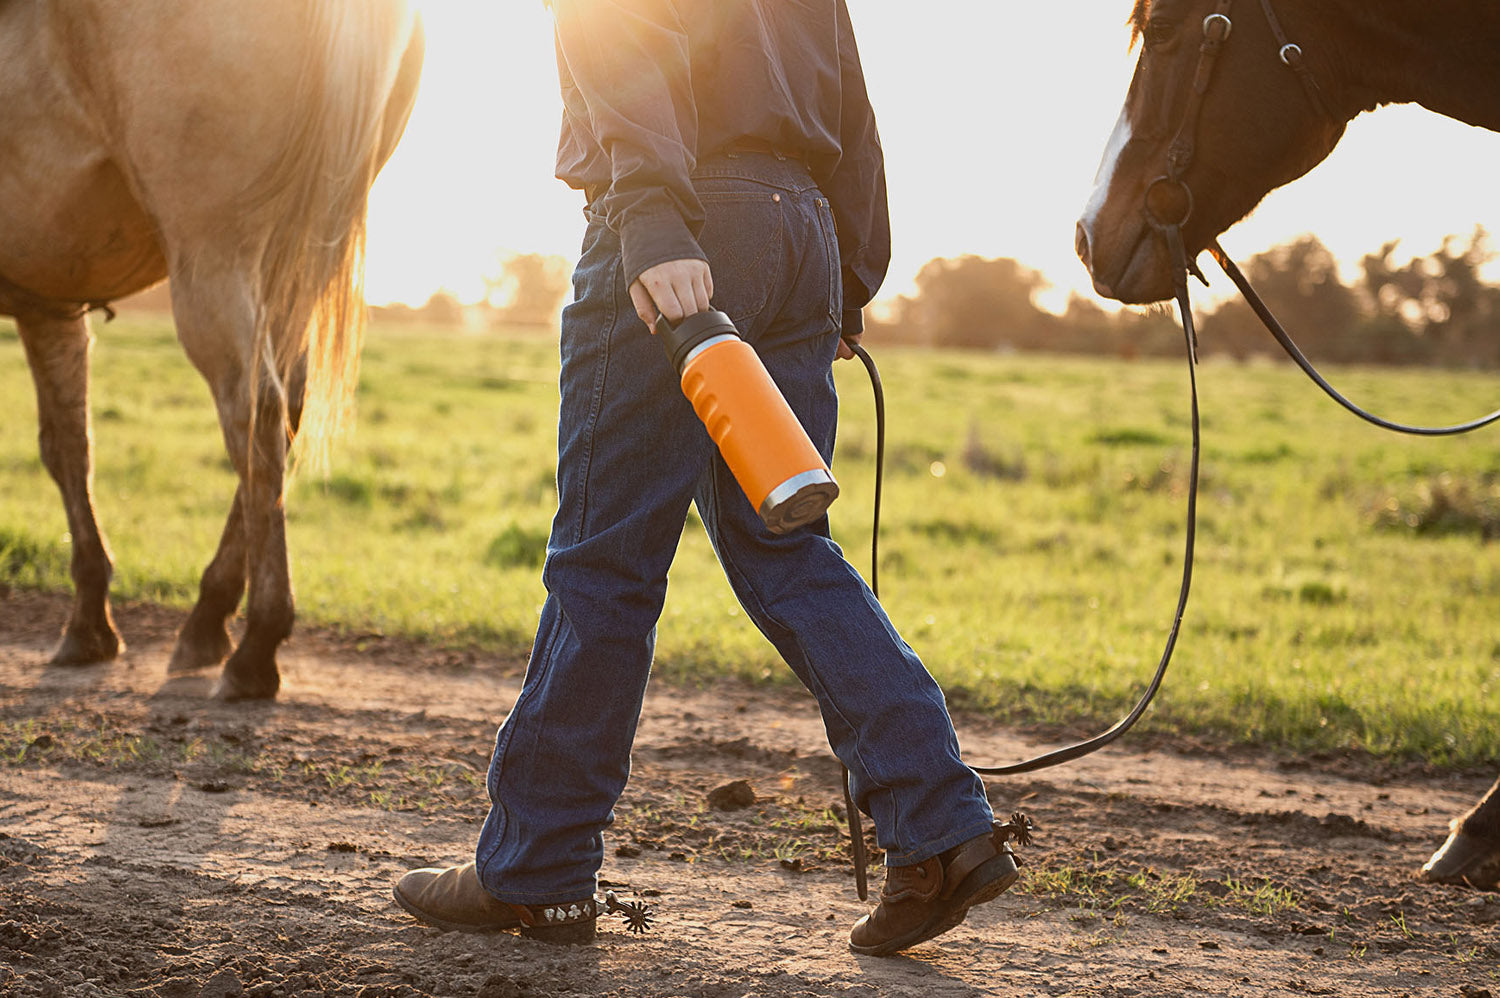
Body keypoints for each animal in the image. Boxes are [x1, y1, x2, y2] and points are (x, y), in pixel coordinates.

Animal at [1, 1, 425, 701]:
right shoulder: (50, 300)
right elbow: (69, 447)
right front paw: (90, 619)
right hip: (298, 252)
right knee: (282, 412)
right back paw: (209, 617)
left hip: (216, 257)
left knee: (254, 411)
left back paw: (255, 646)